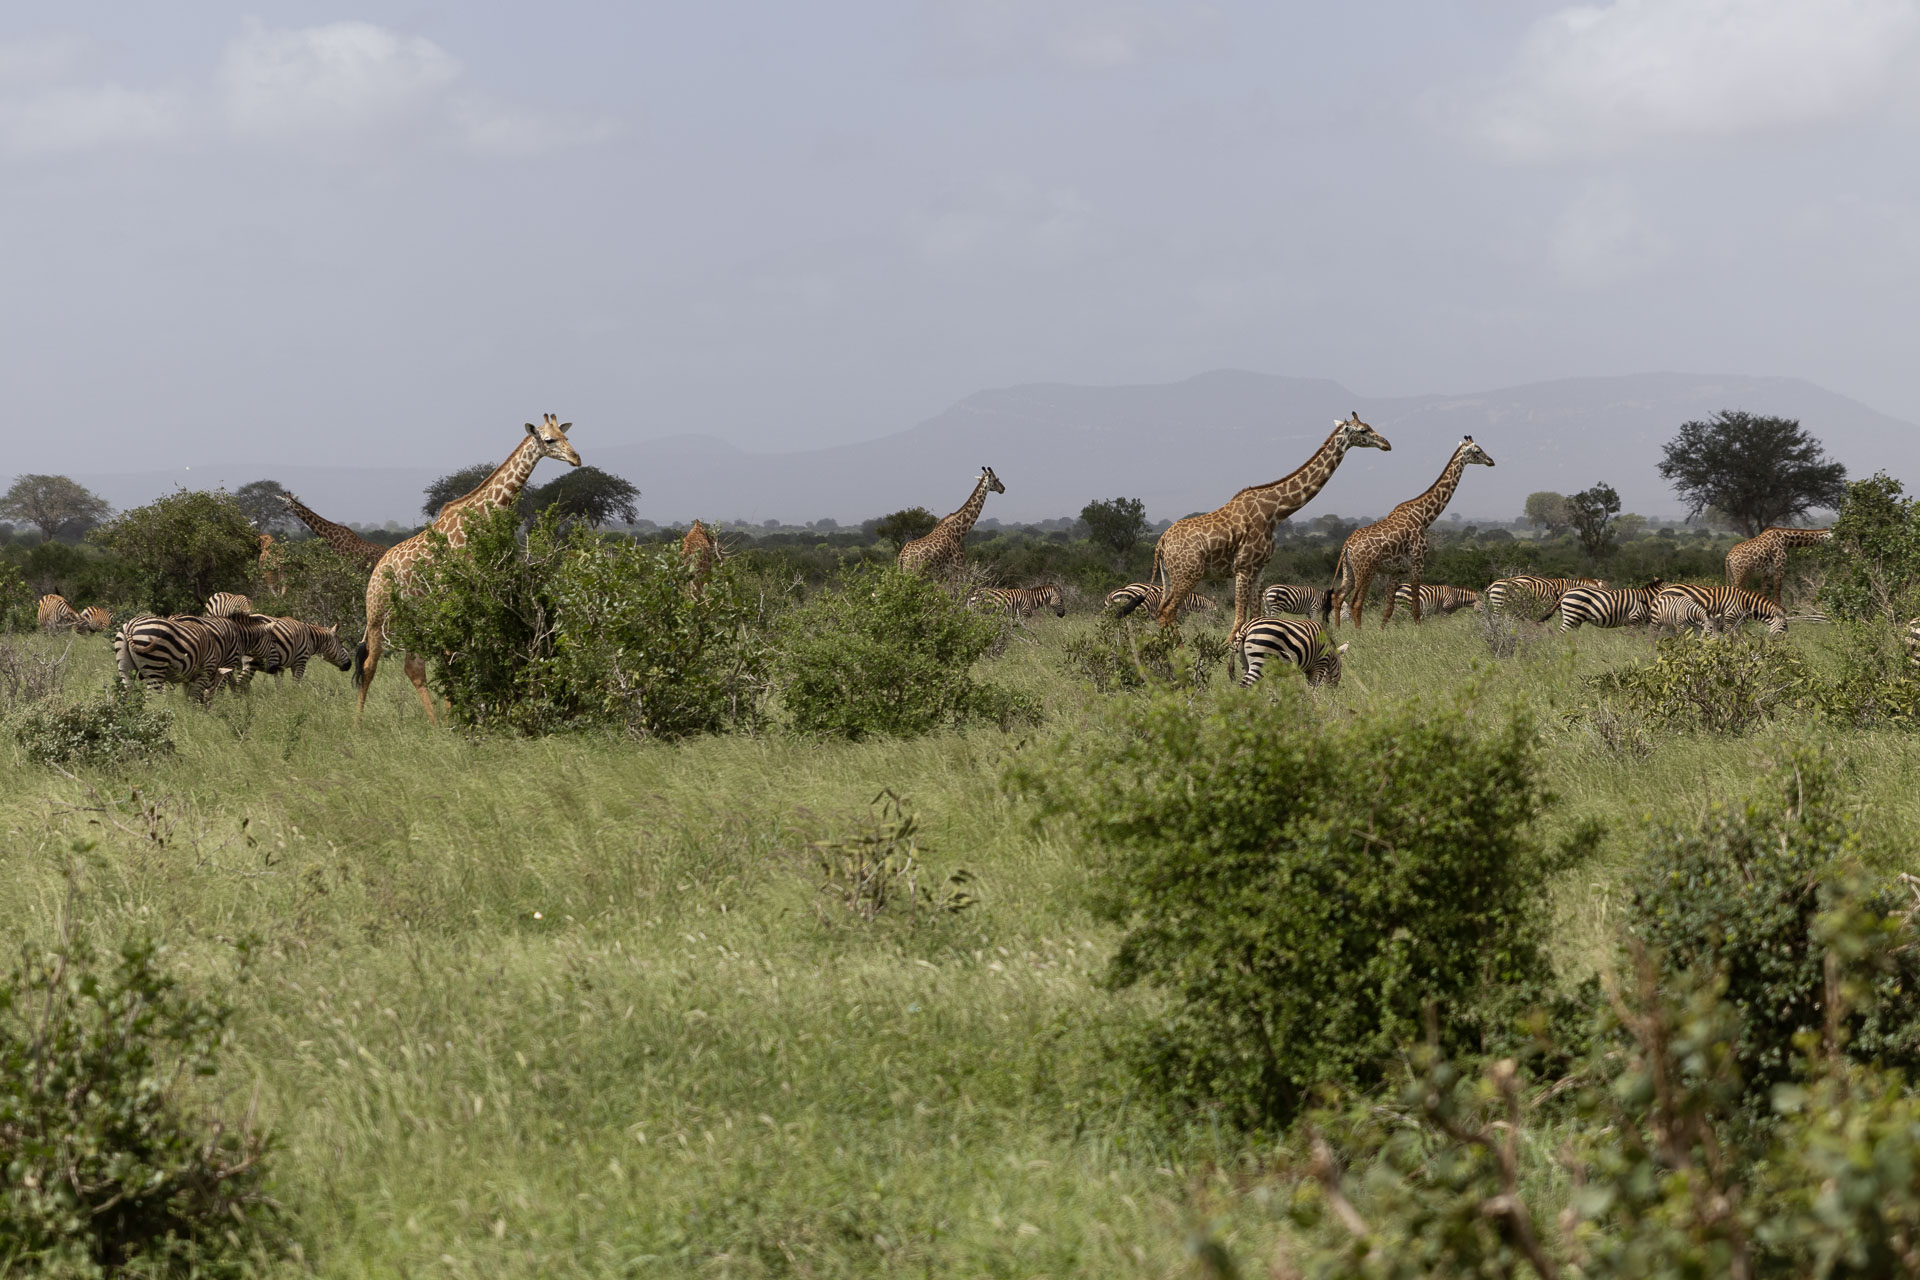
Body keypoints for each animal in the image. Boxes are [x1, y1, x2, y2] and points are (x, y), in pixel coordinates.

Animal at [354, 414, 581, 724]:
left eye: (566, 435)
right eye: (549, 440)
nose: (576, 458)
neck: (481, 516)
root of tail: (374, 573)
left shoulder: (478, 591)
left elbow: (471, 653)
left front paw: (467, 713)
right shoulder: (453, 593)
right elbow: (454, 658)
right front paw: (463, 715)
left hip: (413, 616)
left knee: (413, 667)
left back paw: (436, 723)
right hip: (377, 617)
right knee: (369, 666)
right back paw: (357, 723)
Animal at [1147, 412, 1393, 633]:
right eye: (1363, 430)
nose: (1386, 444)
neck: (1274, 513)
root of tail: (1161, 542)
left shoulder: (1260, 568)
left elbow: (1255, 616)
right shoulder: (1244, 568)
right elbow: (1239, 620)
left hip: (1169, 575)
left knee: (1161, 611)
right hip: (1188, 575)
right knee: (1168, 611)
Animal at [1329, 436, 1496, 629]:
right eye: (1477, 451)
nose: (1491, 461)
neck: (1423, 516)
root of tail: (1347, 546)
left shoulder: (1396, 571)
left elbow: (1388, 609)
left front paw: (1381, 631)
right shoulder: (1418, 563)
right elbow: (1416, 605)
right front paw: (1419, 630)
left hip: (1348, 570)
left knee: (1338, 596)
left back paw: (1337, 630)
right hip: (1365, 571)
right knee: (1356, 602)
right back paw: (1359, 632)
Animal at [1650, 584, 1788, 636]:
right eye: (1784, 626)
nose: (1787, 641)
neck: (1744, 603)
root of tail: (1662, 591)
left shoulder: (1738, 623)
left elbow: (1738, 639)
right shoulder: (1729, 619)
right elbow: (1728, 637)